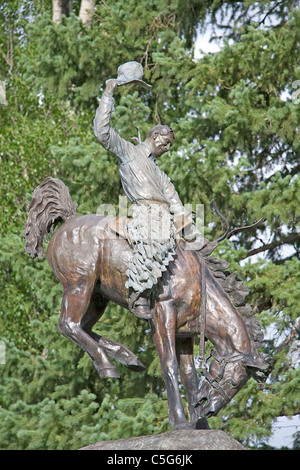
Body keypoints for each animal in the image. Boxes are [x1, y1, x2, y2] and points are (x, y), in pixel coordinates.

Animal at [23, 178, 268, 432]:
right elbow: (169, 365)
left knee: (84, 327)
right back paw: (107, 366)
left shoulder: (185, 335)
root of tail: (70, 220)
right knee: (68, 325)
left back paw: (128, 358)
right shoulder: (162, 317)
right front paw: (180, 422)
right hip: (79, 285)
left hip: (98, 297)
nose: (210, 409)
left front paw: (200, 424)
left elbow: (189, 376)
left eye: (238, 385)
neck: (197, 285)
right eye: (233, 381)